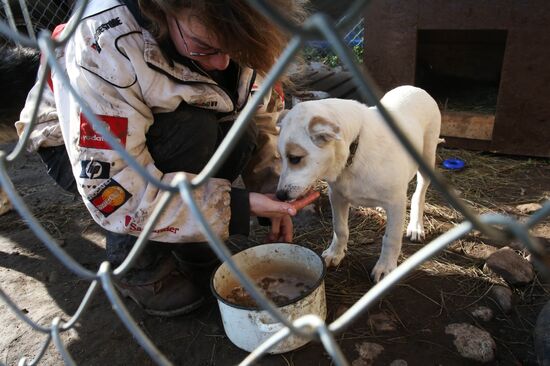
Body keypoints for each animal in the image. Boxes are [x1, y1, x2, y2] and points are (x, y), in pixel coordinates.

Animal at [278, 86, 442, 284]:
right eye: (281, 157)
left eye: (295, 158)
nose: (279, 196)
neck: (354, 151)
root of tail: (415, 88)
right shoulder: (336, 196)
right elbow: (339, 228)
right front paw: (335, 253)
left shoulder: (396, 202)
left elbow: (391, 238)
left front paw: (385, 267)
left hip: (427, 159)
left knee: (420, 192)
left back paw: (416, 226)